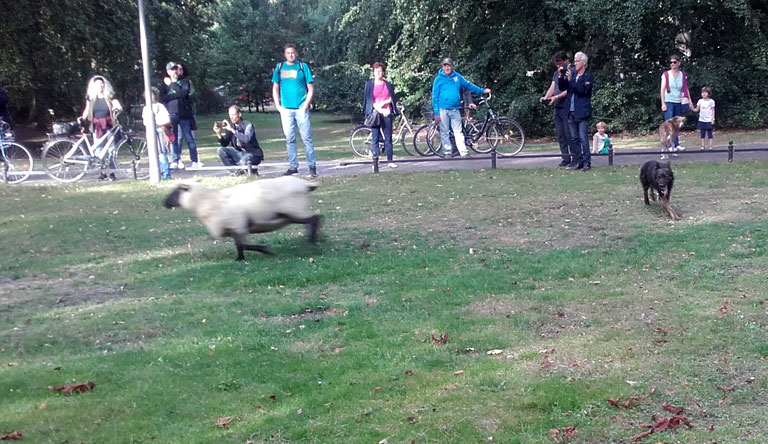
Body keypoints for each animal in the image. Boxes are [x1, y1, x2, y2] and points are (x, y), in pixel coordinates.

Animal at [164, 176, 322, 260]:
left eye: (177, 191)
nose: (164, 203)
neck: (208, 201)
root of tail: (305, 184)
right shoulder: (235, 227)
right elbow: (239, 245)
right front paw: (241, 258)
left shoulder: (238, 225)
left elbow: (242, 245)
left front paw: (264, 250)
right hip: (293, 214)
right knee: (315, 219)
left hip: (294, 210)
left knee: (315, 219)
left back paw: (312, 240)